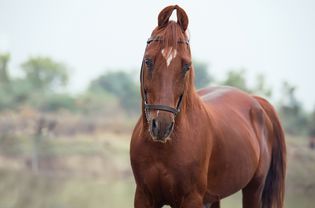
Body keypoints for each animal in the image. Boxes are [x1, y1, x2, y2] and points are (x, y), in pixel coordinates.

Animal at [130, 4, 288, 208]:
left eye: (186, 66)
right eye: (148, 61)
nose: (162, 126)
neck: (163, 149)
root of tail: (256, 101)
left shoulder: (192, 199)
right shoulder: (143, 196)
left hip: (254, 189)